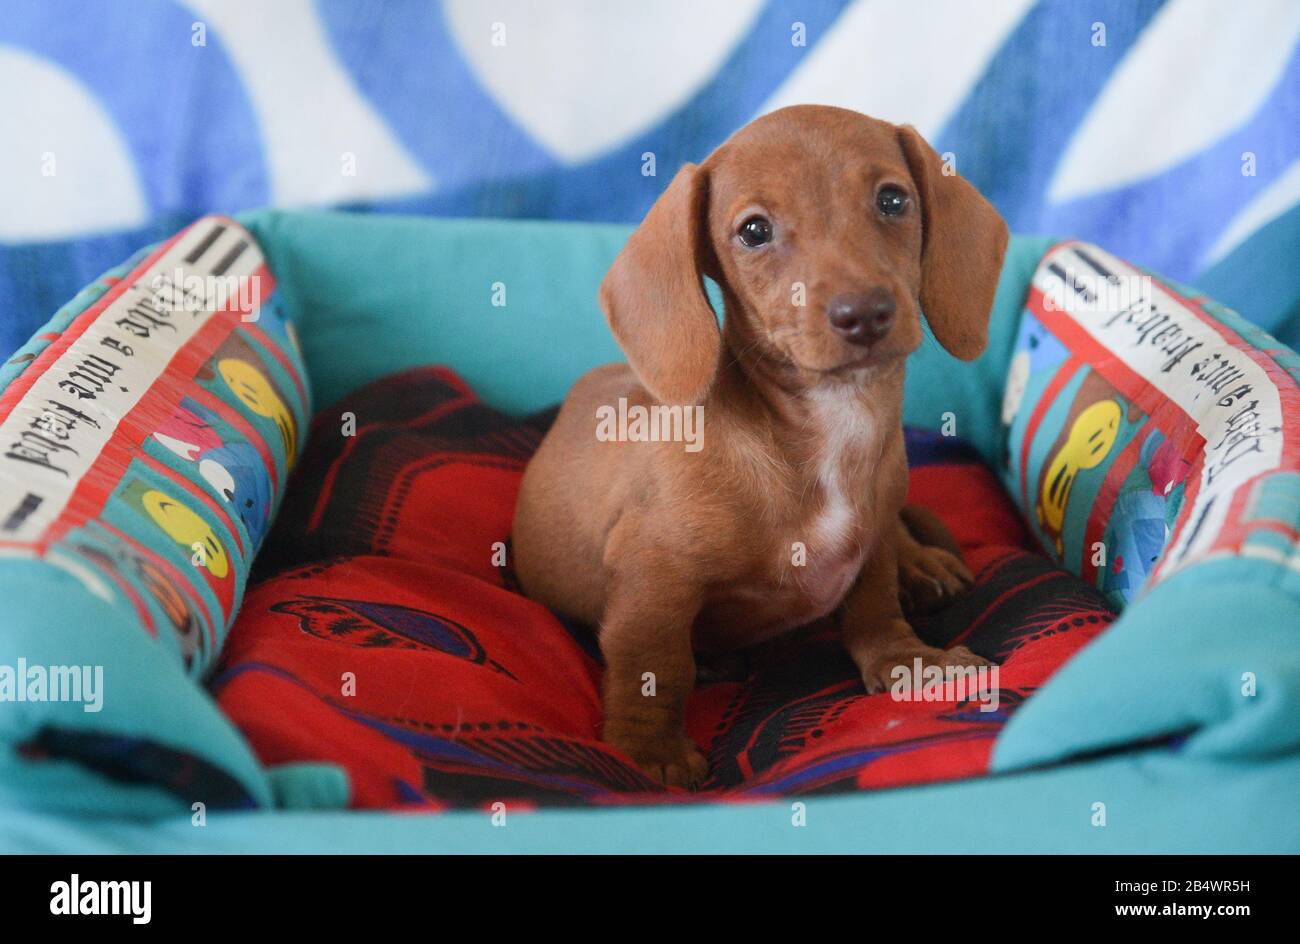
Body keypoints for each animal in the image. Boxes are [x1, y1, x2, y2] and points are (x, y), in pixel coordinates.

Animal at [512, 103, 1008, 785]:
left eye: (893, 199)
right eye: (753, 231)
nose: (864, 313)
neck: (827, 427)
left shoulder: (873, 537)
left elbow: (875, 604)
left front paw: (911, 661)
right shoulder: (652, 579)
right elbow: (655, 667)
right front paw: (650, 752)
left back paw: (924, 563)